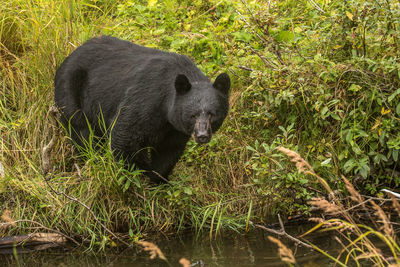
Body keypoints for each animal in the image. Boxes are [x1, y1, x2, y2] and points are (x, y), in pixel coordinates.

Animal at [54, 35, 230, 184]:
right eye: (192, 115)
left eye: (212, 114)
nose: (202, 135)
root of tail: (68, 57)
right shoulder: (145, 100)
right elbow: (124, 136)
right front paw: (134, 176)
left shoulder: (174, 129)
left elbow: (168, 151)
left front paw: (158, 180)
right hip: (70, 95)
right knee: (82, 133)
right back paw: (94, 159)